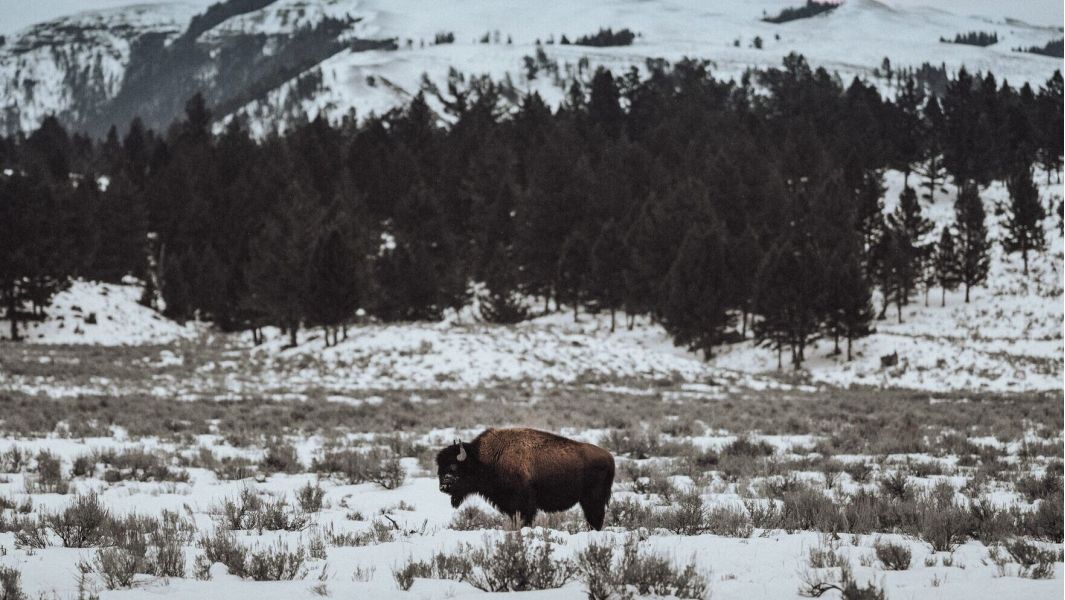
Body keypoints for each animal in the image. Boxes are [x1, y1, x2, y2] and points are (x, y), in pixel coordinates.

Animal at [434, 426, 617, 530]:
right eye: (439, 469)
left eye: (453, 467)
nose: (443, 487)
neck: (485, 459)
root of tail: (609, 457)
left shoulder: (524, 504)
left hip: (593, 499)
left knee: (595, 518)